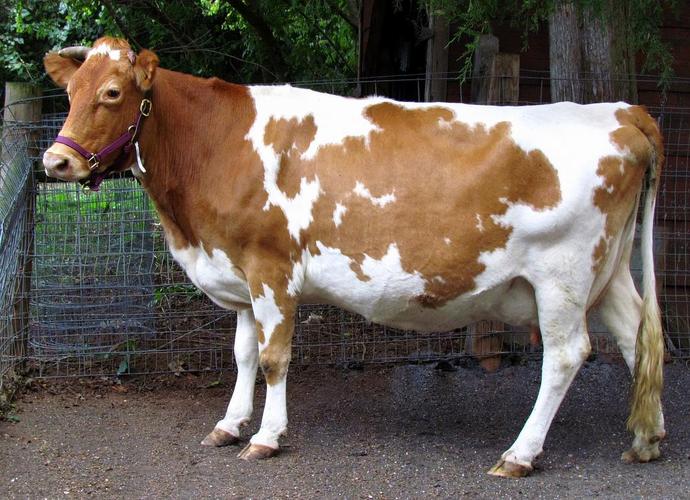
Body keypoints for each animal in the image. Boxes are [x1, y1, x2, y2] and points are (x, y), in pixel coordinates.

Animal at [43, 37, 665, 477]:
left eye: (112, 94)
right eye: (71, 94)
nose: (55, 162)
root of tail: (619, 110)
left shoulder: (272, 268)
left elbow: (274, 358)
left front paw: (266, 437)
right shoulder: (236, 271)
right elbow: (243, 355)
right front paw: (229, 424)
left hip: (562, 276)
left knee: (566, 355)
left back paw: (520, 454)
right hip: (610, 272)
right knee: (636, 334)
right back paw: (646, 438)